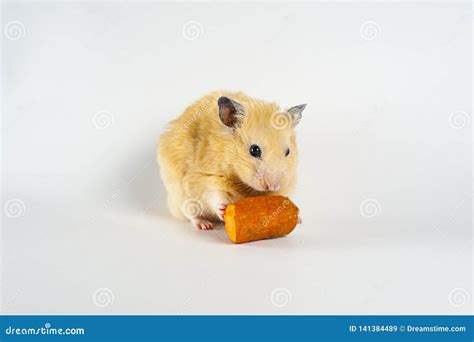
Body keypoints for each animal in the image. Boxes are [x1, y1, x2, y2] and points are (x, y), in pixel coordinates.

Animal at [157, 91, 306, 230]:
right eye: (254, 150)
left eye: (288, 151)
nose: (273, 186)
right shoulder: (207, 177)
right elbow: (215, 194)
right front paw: (224, 208)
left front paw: (298, 215)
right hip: (180, 195)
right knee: (191, 214)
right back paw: (205, 225)